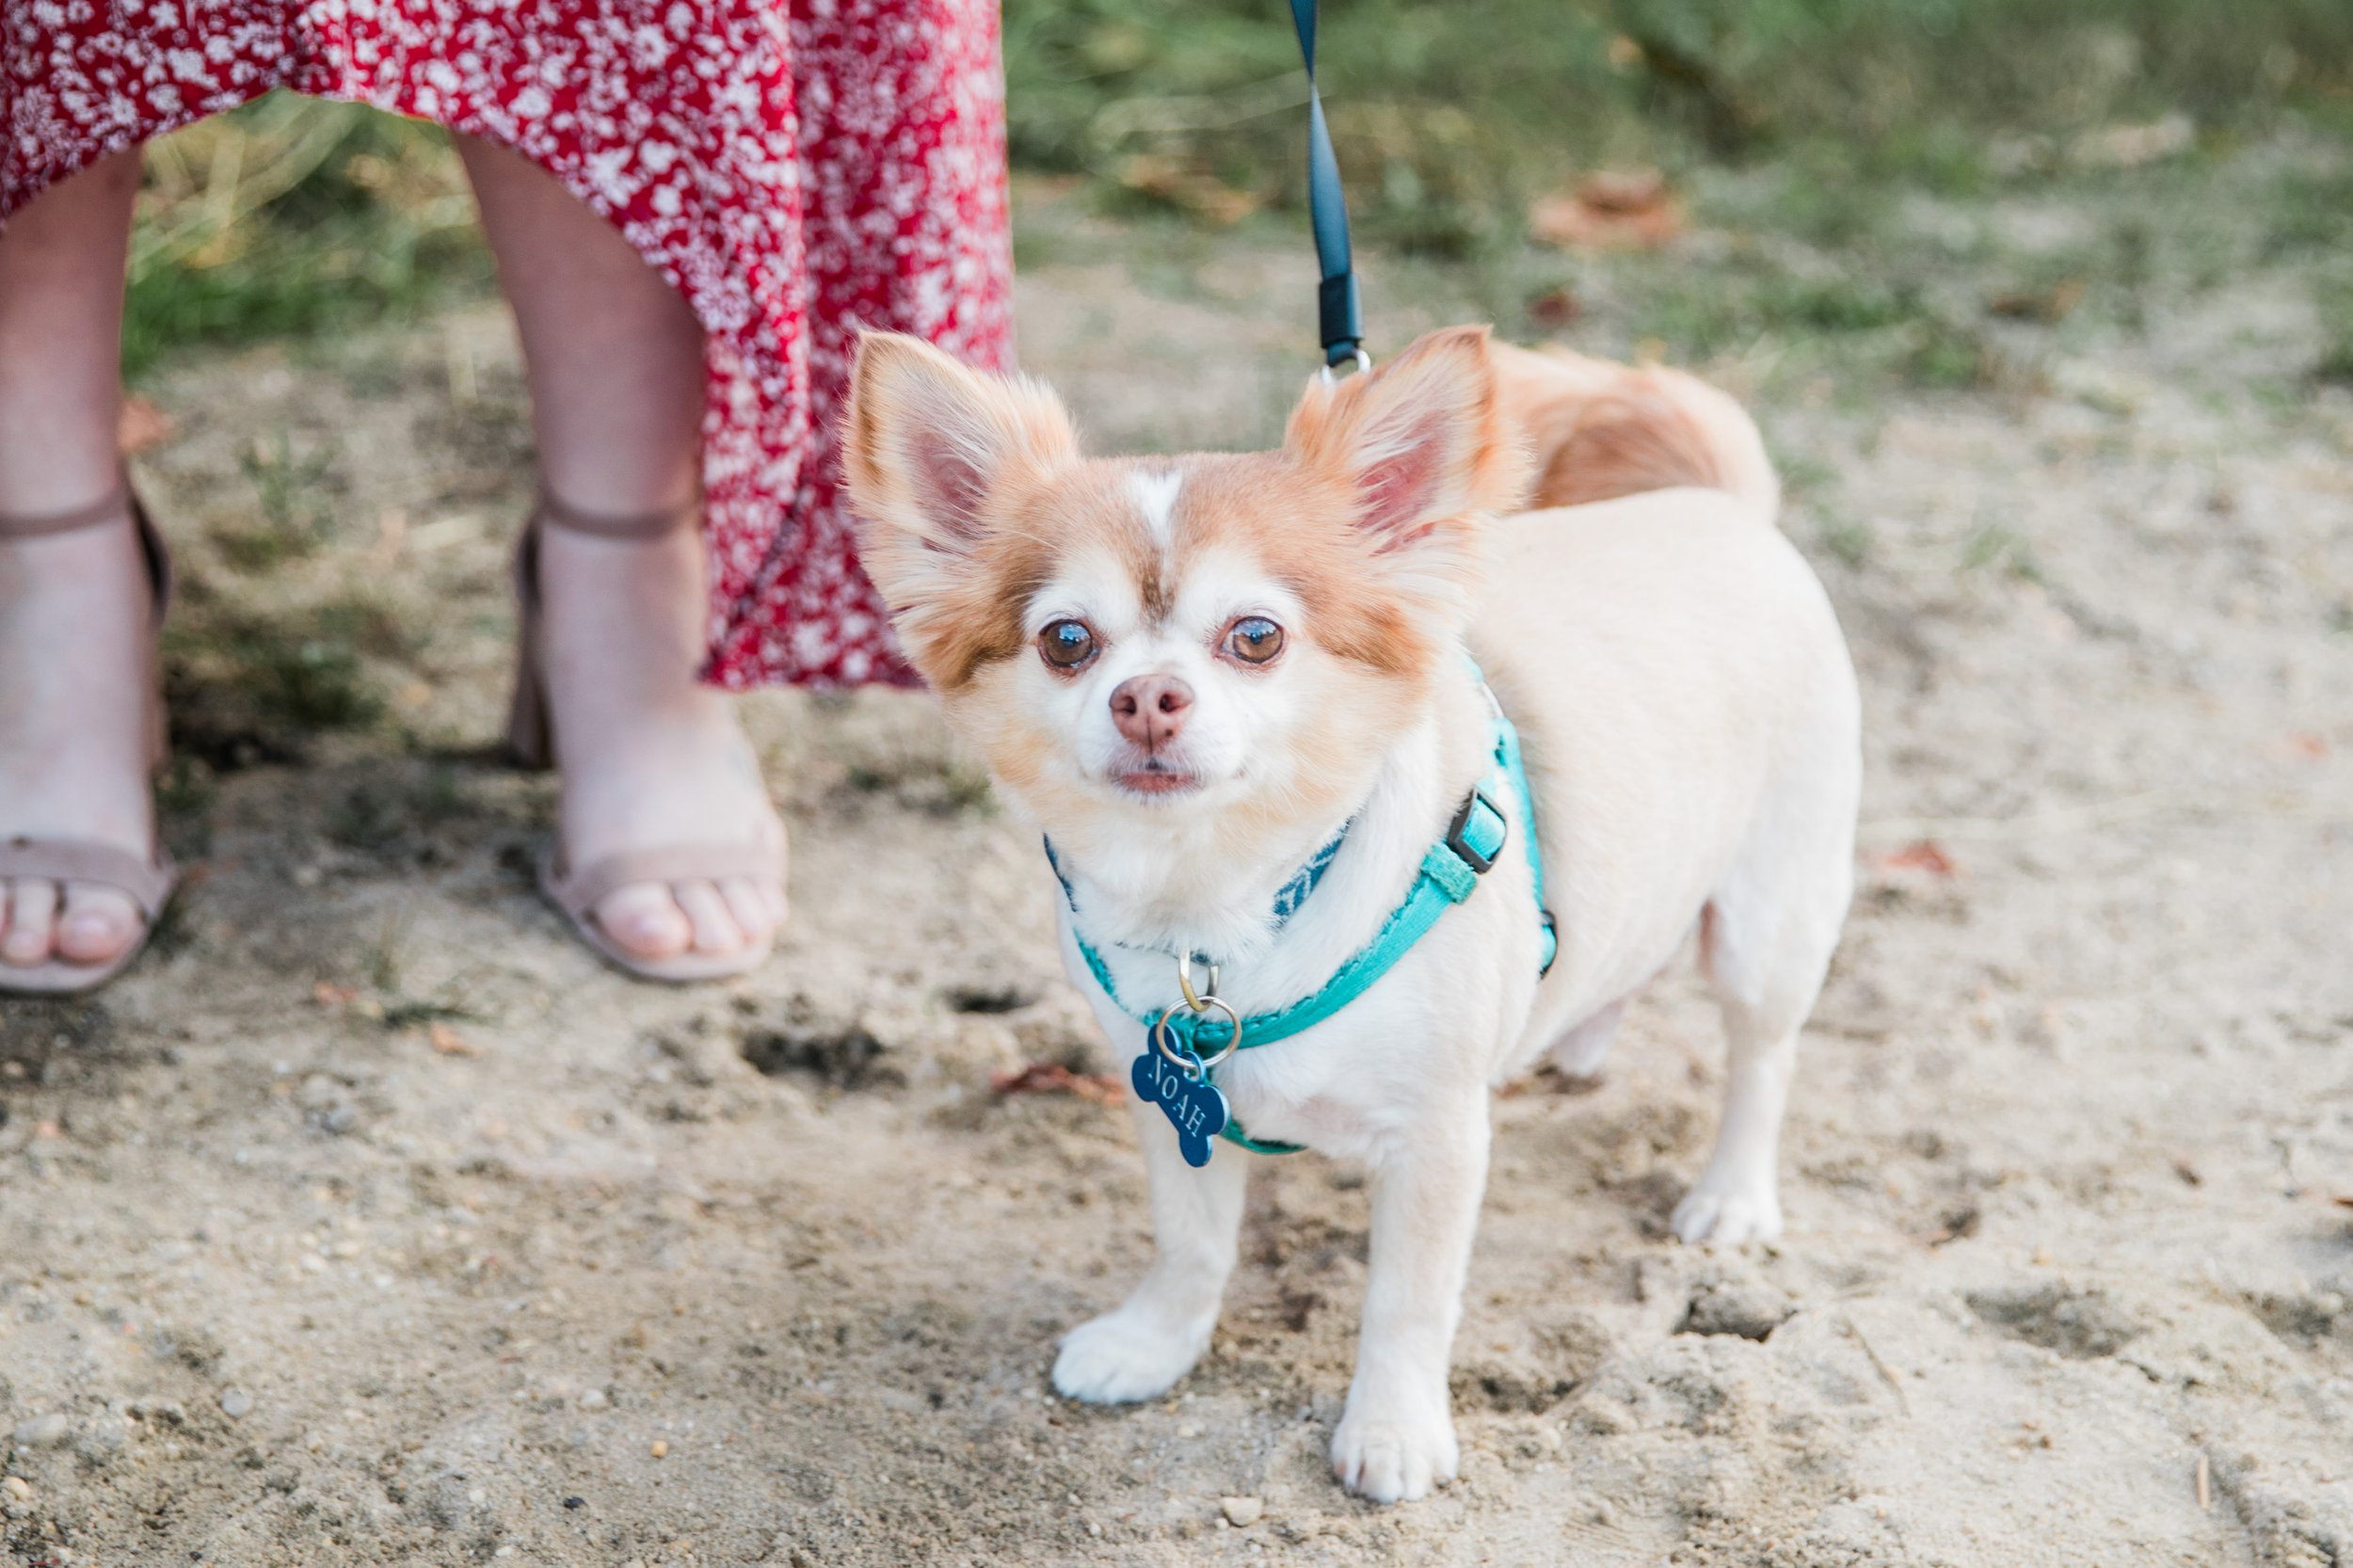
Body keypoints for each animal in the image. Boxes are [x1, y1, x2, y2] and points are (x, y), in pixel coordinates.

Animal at [842, 327, 1854, 1506]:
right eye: (1064, 641)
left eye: (1254, 636)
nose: (1146, 697)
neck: (1223, 911)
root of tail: (1716, 505)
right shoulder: (1168, 1100)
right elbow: (1191, 1246)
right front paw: (1154, 1345)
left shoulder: (1437, 1138)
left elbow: (1406, 1302)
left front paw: (1393, 1429)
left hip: (1766, 923)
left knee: (1761, 1057)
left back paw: (1731, 1199)